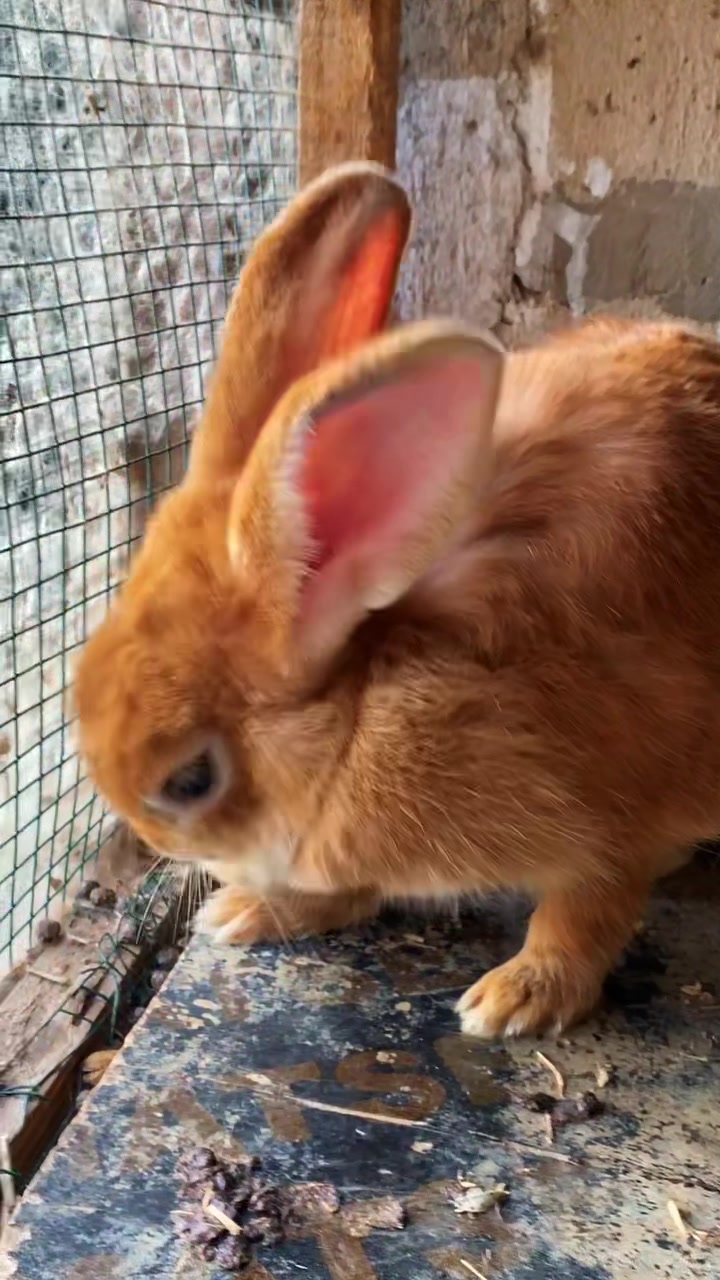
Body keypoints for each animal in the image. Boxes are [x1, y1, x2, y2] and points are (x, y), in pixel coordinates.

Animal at [74, 161, 720, 1039]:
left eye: (189, 781)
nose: (143, 841)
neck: (362, 704)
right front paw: (249, 911)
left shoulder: (615, 812)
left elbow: (586, 913)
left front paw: (516, 1000)